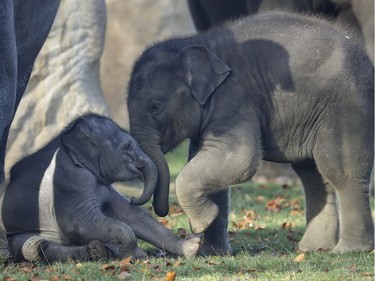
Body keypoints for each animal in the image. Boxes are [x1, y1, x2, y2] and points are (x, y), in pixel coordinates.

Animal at [0, 112, 200, 262]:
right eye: (127, 146)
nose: (133, 198)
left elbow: (132, 215)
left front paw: (193, 246)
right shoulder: (68, 182)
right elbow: (80, 224)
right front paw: (138, 257)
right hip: (18, 236)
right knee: (33, 246)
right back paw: (98, 252)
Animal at [128, 11, 374, 254]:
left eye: (155, 107)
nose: (132, 199)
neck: (195, 41)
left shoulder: (233, 98)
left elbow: (239, 158)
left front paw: (201, 223)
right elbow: (206, 165)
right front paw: (212, 252)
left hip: (346, 106)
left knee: (339, 170)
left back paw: (349, 250)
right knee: (312, 174)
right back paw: (313, 248)